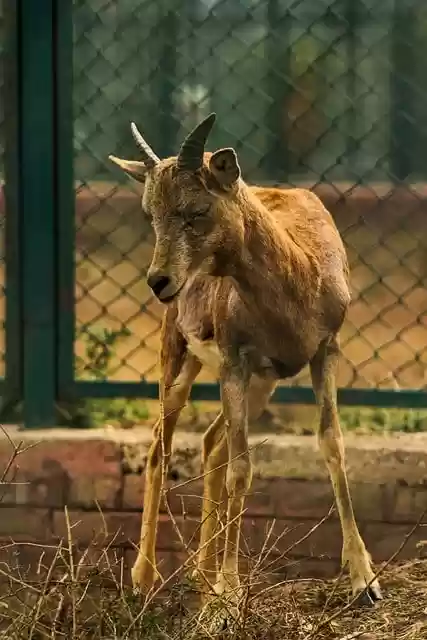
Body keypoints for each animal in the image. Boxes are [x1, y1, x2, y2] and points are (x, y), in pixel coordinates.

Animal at [109, 112, 382, 622]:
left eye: (196, 209)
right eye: (150, 213)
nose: (159, 282)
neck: (298, 272)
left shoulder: (324, 353)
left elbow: (332, 444)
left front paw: (365, 581)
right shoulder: (234, 364)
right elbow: (243, 469)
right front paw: (230, 595)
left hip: (261, 384)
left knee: (211, 443)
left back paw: (201, 577)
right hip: (181, 362)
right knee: (161, 445)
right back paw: (145, 579)